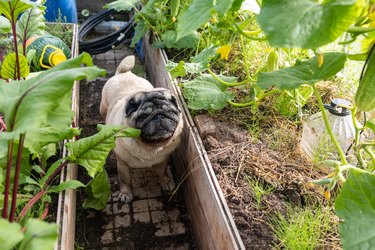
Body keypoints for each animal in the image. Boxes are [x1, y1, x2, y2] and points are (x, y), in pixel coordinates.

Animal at [99, 55, 183, 203]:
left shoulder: (162, 161)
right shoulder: (123, 165)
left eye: (170, 112)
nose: (159, 116)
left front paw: (165, 182)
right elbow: (125, 181)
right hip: (103, 108)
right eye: (143, 116)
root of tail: (123, 73)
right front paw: (126, 194)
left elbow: (162, 173)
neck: (150, 147)